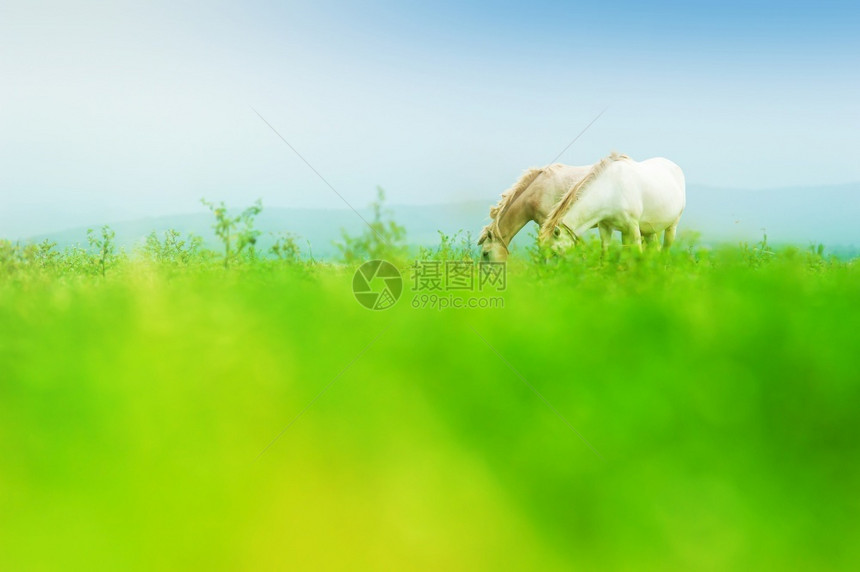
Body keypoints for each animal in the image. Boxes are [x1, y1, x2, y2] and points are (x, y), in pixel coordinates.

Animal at [536, 152, 684, 252]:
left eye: (555, 251)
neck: (610, 190)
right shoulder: (605, 228)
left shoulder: (633, 228)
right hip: (649, 230)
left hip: (672, 226)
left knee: (665, 249)